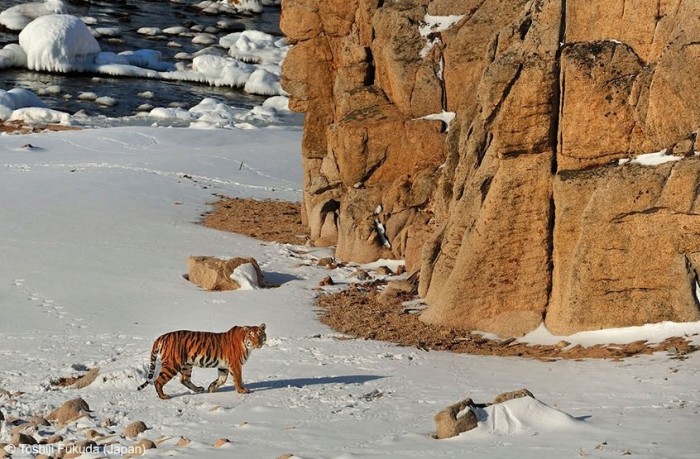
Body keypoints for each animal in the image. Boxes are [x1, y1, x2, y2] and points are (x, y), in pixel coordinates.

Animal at [137, 324, 266, 398]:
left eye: (260, 335)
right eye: (252, 336)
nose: (258, 343)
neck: (247, 345)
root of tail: (161, 337)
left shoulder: (224, 366)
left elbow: (222, 379)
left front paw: (211, 388)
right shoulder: (235, 364)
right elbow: (238, 378)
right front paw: (242, 390)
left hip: (187, 365)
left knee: (184, 379)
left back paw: (199, 389)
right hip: (172, 364)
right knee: (158, 381)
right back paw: (164, 396)